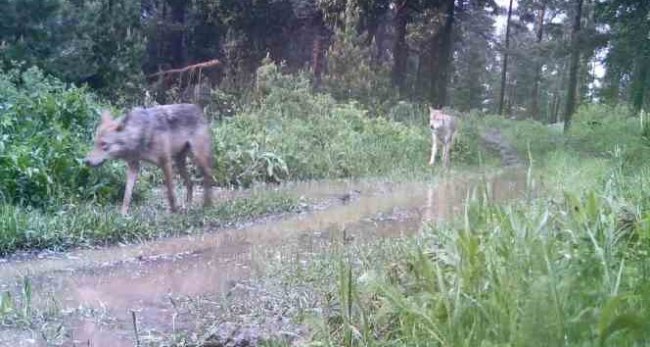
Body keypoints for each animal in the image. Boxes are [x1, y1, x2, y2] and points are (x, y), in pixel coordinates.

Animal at [82, 103, 214, 215]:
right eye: (95, 143)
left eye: (104, 145)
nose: (86, 161)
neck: (139, 135)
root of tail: (197, 108)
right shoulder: (133, 166)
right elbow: (127, 194)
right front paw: (123, 214)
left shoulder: (165, 162)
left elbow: (170, 191)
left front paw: (173, 211)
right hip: (179, 163)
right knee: (191, 183)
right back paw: (188, 206)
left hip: (197, 159)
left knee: (208, 175)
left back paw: (207, 205)